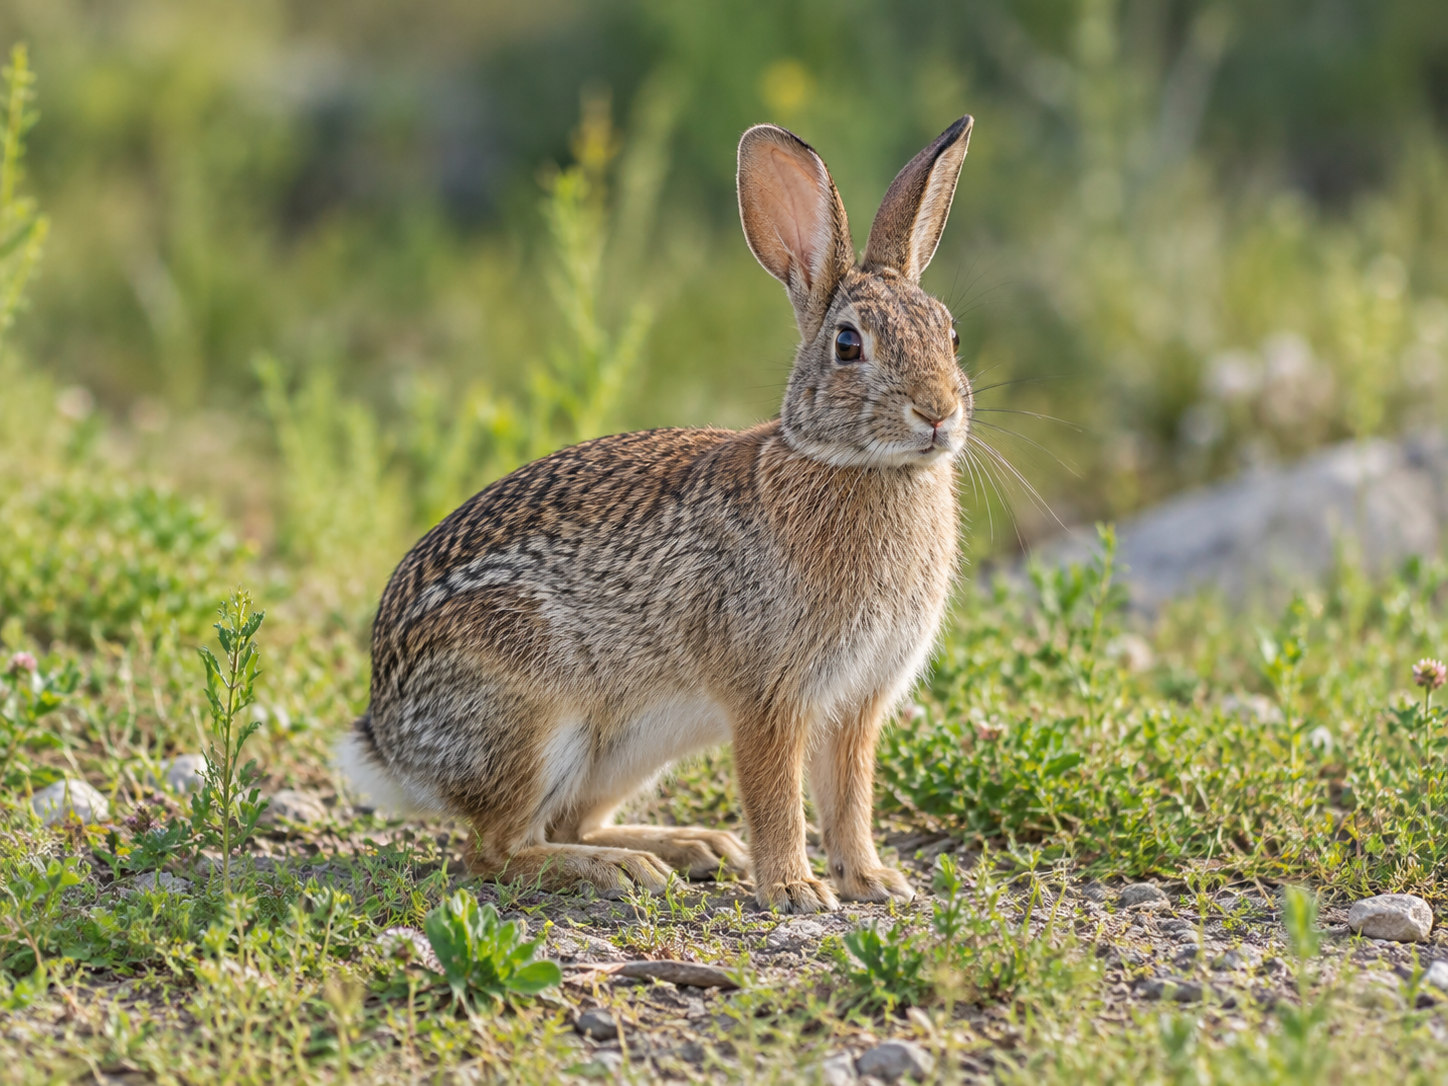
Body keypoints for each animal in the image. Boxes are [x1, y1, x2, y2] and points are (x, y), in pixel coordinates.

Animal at [340, 115, 975, 913]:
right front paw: (794, 890)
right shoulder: (765, 697)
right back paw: (620, 870)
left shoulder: (858, 703)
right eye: (848, 344)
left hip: (626, 749)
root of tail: (392, 744)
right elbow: (776, 797)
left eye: (951, 334)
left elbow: (850, 799)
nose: (937, 413)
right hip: (536, 716)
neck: (856, 465)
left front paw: (873, 880)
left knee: (565, 821)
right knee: (495, 849)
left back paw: (685, 848)